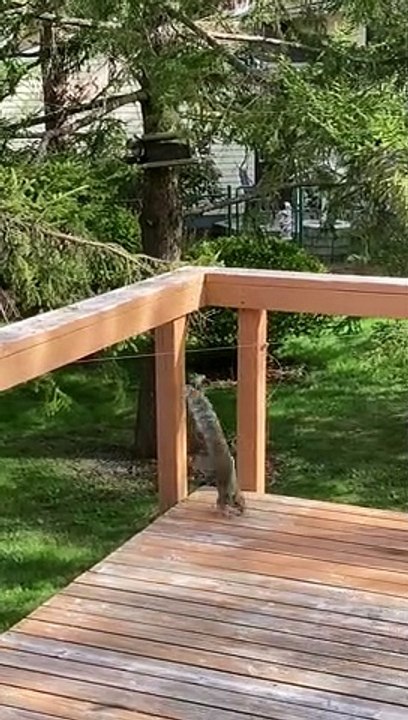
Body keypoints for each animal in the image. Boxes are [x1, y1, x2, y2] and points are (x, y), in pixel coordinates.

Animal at [186, 374, 245, 517]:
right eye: (237, 503)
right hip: (207, 463)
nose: (242, 511)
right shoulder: (224, 492)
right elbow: (221, 502)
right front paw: (224, 510)